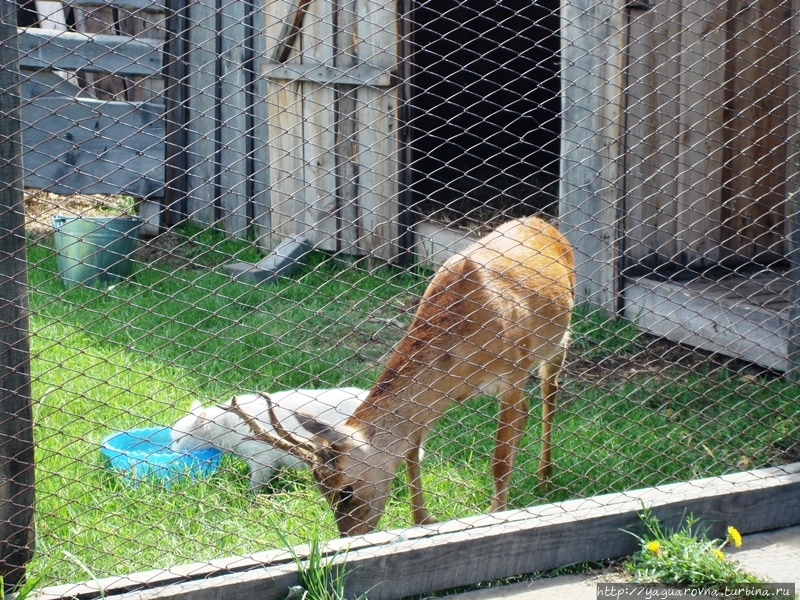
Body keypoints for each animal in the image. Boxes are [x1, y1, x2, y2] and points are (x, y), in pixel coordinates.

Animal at [231, 216, 576, 536]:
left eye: (345, 491)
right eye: (322, 492)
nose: (347, 535)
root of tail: (542, 222)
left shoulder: (512, 374)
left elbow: (499, 459)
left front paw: (495, 514)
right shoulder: (436, 400)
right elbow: (412, 454)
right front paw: (423, 519)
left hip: (559, 338)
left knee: (549, 394)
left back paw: (545, 476)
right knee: (531, 409)